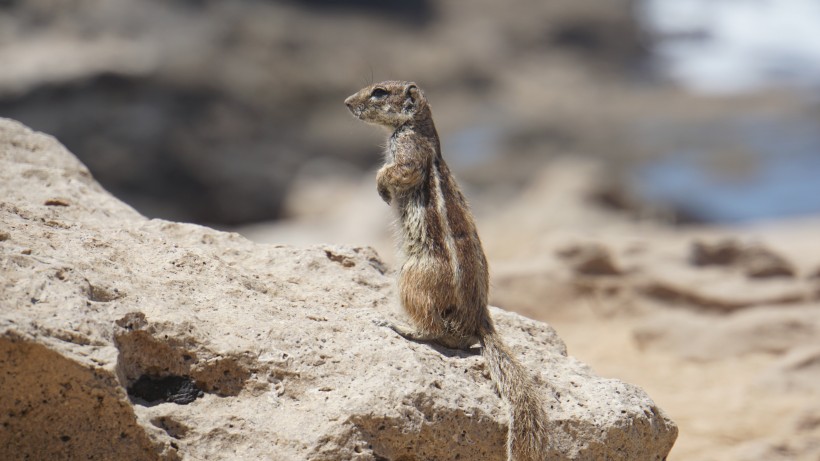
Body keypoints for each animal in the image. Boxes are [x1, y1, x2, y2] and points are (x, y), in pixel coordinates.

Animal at [342, 81, 548, 458]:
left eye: (379, 92)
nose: (348, 102)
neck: (420, 126)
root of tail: (480, 318)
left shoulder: (409, 151)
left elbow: (397, 171)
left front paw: (381, 187)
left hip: (411, 279)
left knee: (434, 330)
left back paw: (400, 326)